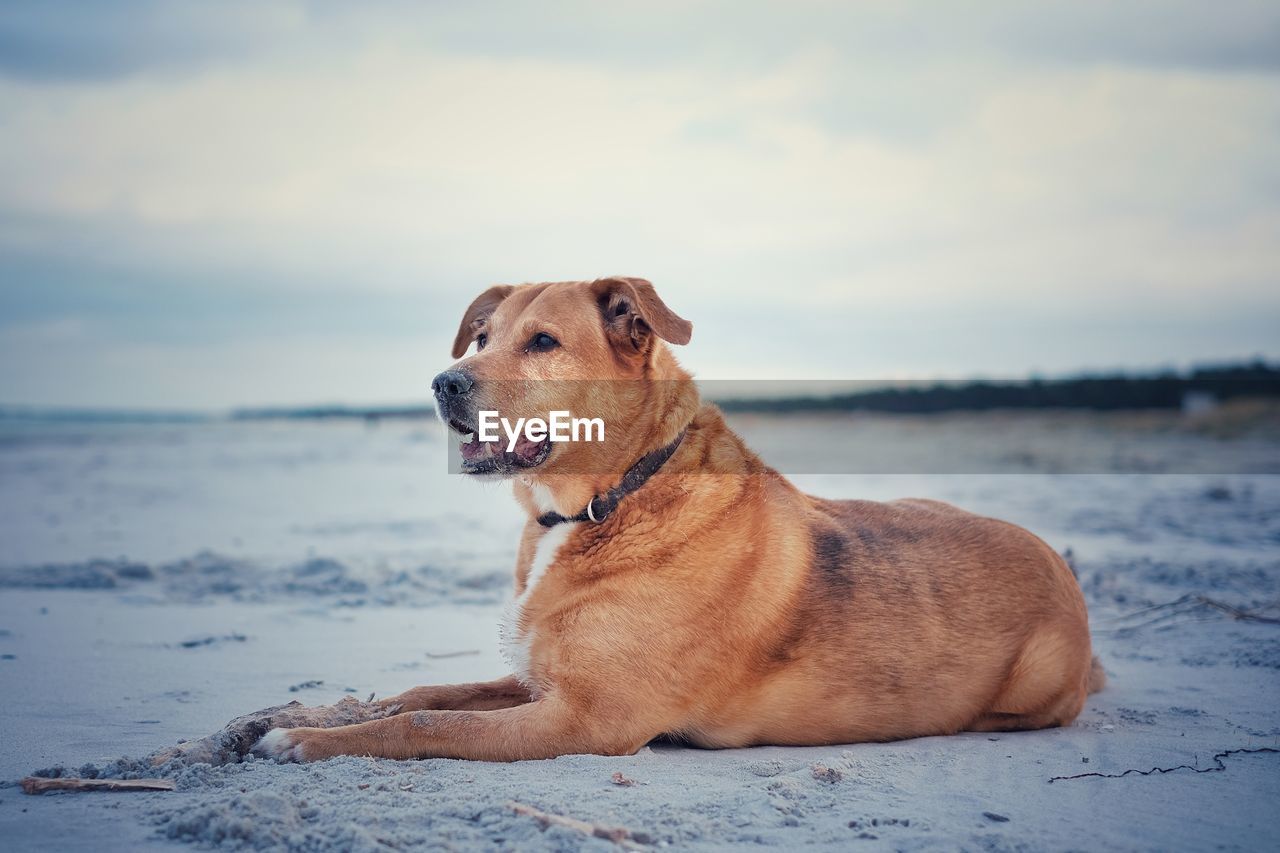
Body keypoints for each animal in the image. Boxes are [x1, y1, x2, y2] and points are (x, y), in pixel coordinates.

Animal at [254, 275, 1105, 758]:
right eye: (483, 335)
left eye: (543, 341)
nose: (443, 382)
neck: (611, 497)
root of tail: (1064, 570)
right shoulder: (540, 682)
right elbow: (431, 694)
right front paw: (328, 710)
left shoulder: (587, 721)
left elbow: (428, 725)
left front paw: (302, 738)